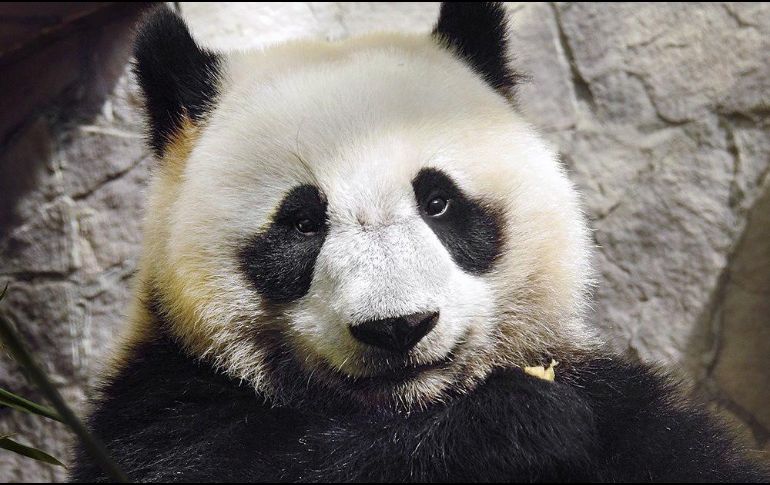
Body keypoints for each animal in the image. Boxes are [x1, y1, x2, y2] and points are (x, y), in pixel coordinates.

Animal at [71, 3, 767, 482]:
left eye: (438, 202)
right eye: (303, 223)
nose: (397, 328)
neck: (405, 410)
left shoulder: (630, 415)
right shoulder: (164, 404)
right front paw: (514, 425)